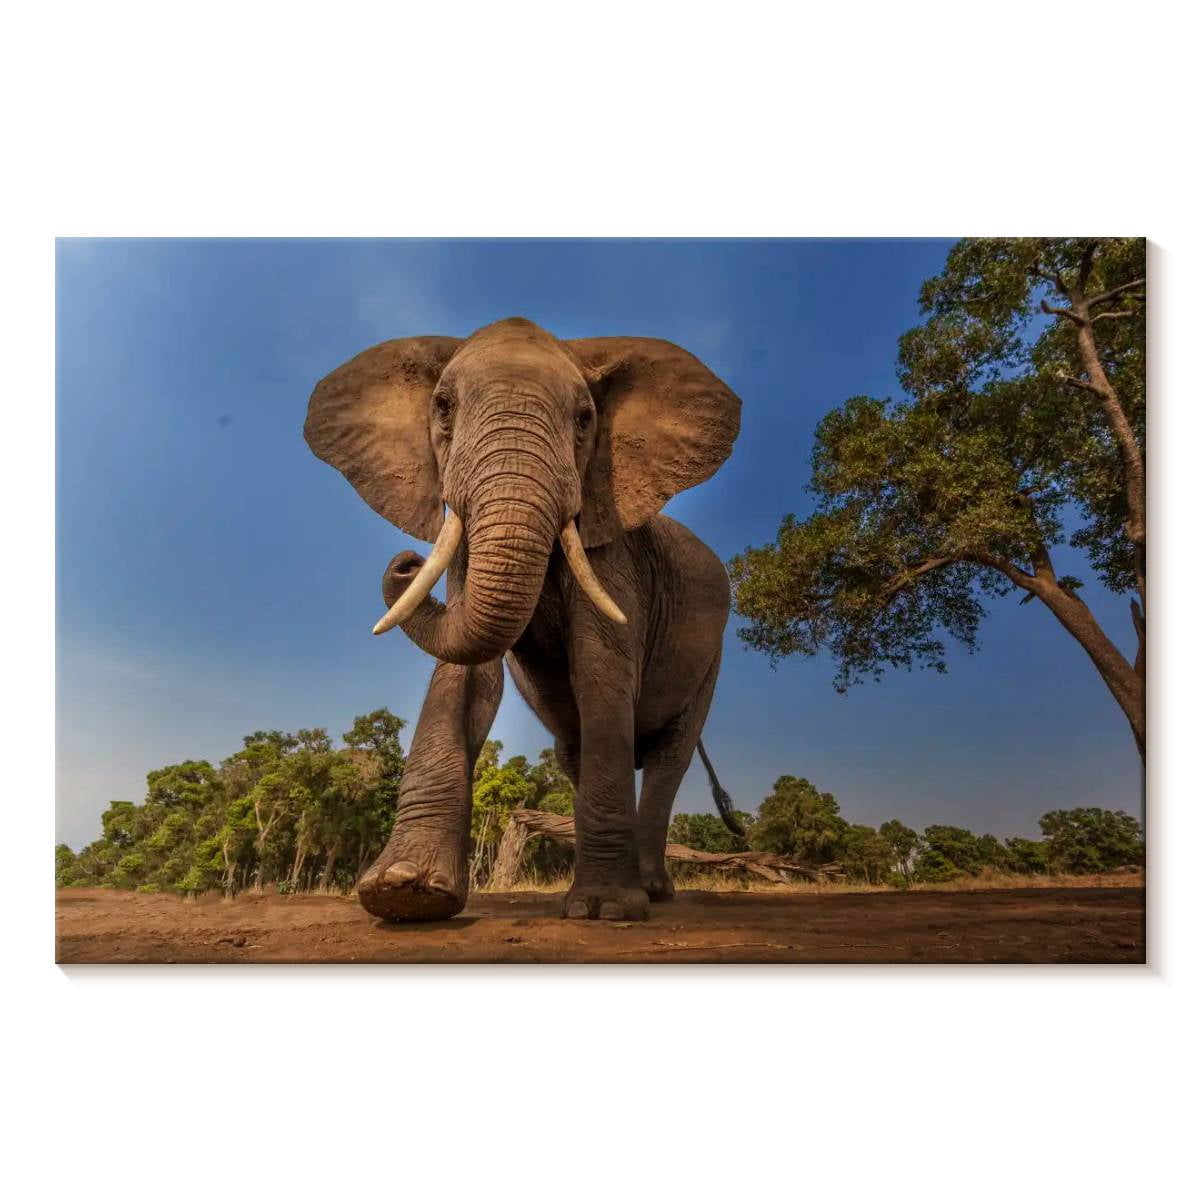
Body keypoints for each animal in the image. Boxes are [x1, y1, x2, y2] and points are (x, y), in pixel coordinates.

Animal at [304, 316, 743, 921]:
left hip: (712, 659)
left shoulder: (613, 549)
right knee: (576, 750)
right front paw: (403, 893)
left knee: (669, 757)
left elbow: (601, 670)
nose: (405, 562)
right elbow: (465, 675)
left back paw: (651, 892)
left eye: (584, 419)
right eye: (443, 407)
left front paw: (606, 910)